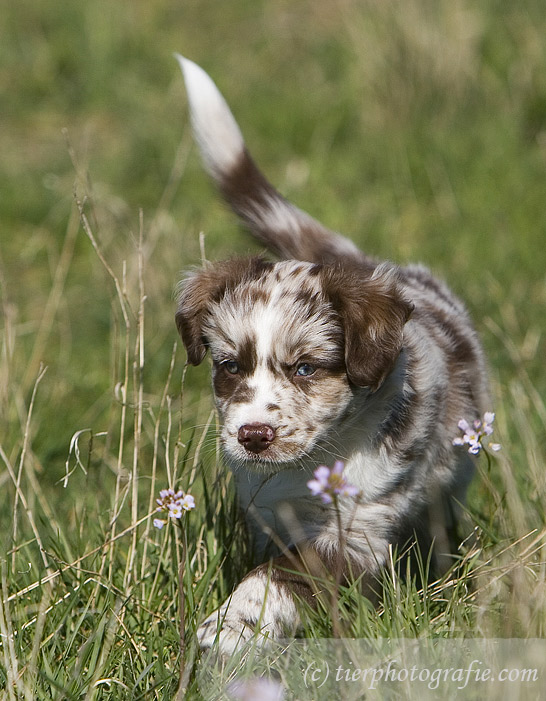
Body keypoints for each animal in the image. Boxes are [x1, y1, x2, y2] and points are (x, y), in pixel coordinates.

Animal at [175, 53, 488, 652]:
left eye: (305, 368)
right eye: (230, 367)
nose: (253, 436)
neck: (309, 464)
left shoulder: (356, 523)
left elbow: (278, 578)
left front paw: (229, 627)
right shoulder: (267, 510)